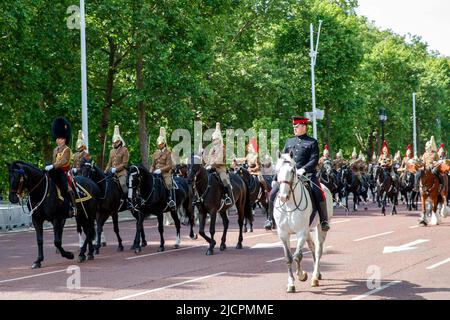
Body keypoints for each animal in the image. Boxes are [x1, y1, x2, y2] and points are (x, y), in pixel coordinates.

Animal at [272, 154, 332, 292]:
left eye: (292, 170)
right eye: (277, 171)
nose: (283, 197)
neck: (289, 205)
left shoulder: (301, 232)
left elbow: (297, 256)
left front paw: (301, 275)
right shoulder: (283, 233)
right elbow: (289, 257)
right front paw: (291, 284)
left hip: (319, 228)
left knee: (318, 250)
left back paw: (315, 277)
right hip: (309, 230)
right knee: (312, 247)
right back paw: (318, 274)